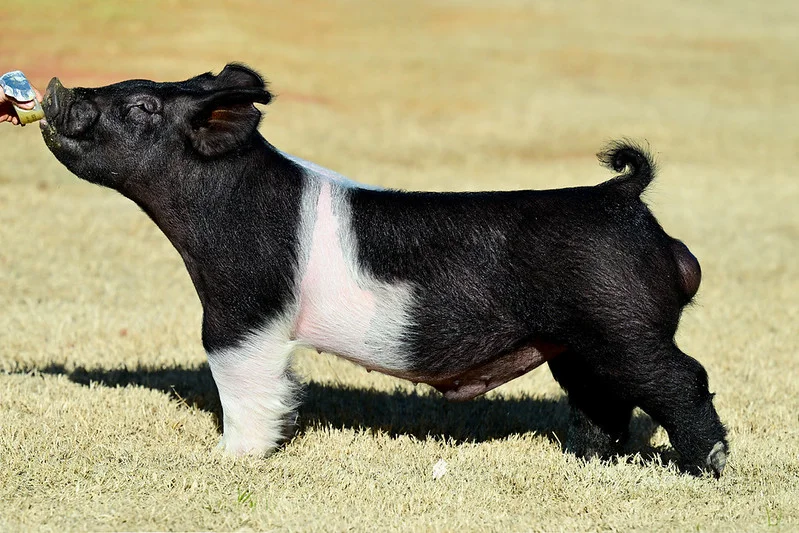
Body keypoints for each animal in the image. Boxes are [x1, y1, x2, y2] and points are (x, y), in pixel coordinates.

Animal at [39, 63, 728, 476]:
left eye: (143, 106)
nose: (56, 87)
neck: (221, 205)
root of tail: (623, 197)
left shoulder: (243, 308)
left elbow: (238, 378)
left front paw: (232, 458)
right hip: (578, 343)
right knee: (603, 399)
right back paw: (590, 462)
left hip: (623, 324)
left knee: (683, 379)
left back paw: (708, 468)